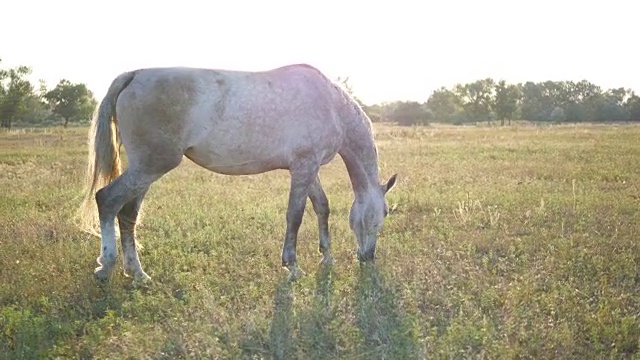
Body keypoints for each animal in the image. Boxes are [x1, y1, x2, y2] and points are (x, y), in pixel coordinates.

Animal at [80, 64, 396, 284]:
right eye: (383, 214)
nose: (368, 257)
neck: (331, 104)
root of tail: (135, 75)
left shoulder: (309, 167)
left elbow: (322, 207)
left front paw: (326, 258)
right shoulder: (304, 166)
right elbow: (295, 215)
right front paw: (292, 266)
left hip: (145, 170)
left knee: (127, 214)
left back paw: (137, 273)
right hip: (150, 166)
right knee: (107, 199)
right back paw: (106, 266)